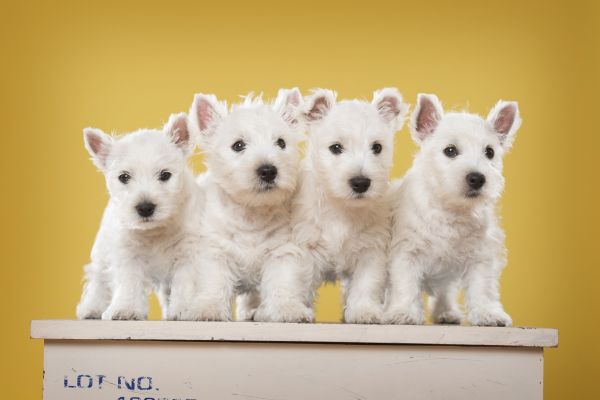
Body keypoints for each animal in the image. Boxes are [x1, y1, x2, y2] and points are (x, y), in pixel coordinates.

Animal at [77, 114, 205, 320]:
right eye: (124, 177)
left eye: (165, 175)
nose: (145, 207)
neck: (154, 231)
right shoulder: (127, 254)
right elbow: (129, 283)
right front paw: (126, 309)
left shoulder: (188, 252)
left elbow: (184, 282)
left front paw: (184, 309)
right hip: (101, 252)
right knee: (98, 279)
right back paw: (91, 308)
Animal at [186, 86, 314, 322]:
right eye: (238, 145)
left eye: (281, 143)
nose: (268, 171)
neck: (252, 213)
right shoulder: (215, 250)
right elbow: (214, 282)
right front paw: (208, 309)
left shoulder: (282, 251)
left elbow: (283, 284)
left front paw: (289, 310)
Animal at [290, 87, 408, 322]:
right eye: (336, 147)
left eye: (377, 147)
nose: (361, 183)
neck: (342, 207)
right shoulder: (306, 247)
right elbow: (299, 281)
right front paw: (296, 310)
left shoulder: (371, 251)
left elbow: (366, 285)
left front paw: (364, 311)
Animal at [384, 95, 520, 326]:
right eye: (450, 150)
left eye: (490, 152)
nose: (477, 178)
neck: (452, 209)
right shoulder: (407, 252)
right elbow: (405, 285)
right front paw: (403, 313)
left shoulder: (481, 257)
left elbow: (482, 288)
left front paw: (488, 314)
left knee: (444, 292)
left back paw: (446, 313)